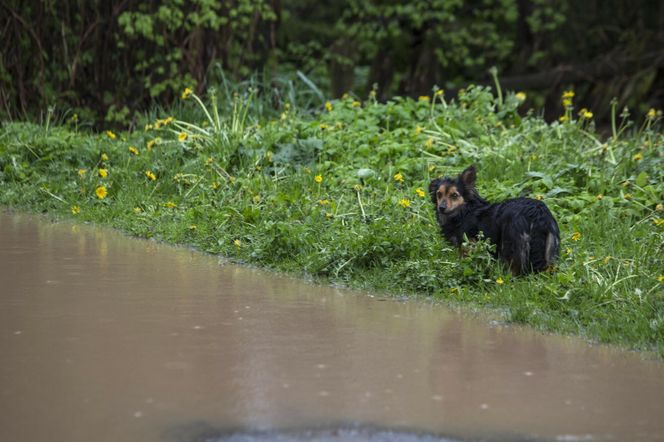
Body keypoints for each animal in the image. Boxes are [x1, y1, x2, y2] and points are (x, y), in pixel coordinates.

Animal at [430, 166, 560, 274]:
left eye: (454, 195)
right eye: (439, 194)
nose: (441, 207)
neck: (464, 211)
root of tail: (537, 211)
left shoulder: (468, 243)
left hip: (511, 241)